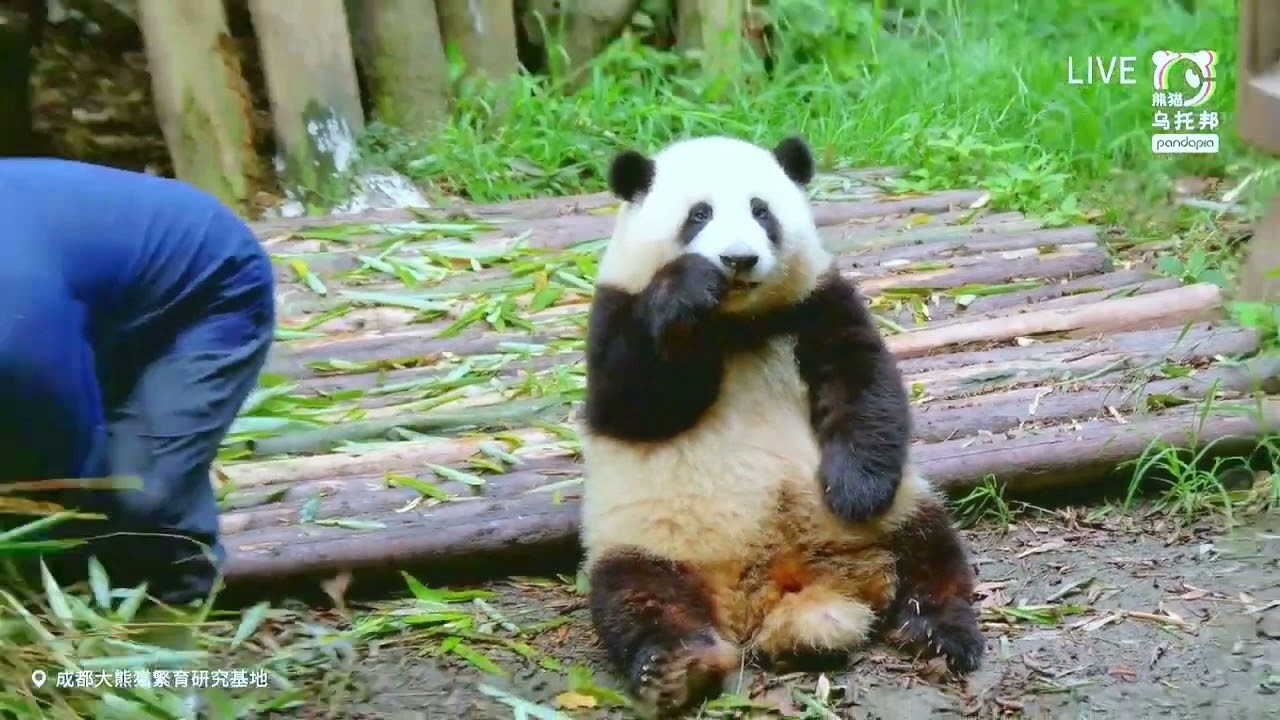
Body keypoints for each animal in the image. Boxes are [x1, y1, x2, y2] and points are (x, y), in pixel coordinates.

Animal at [577, 134, 985, 716]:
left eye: (761, 210)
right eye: (698, 214)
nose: (737, 259)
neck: (736, 323)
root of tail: (772, 590)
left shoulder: (816, 301)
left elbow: (864, 384)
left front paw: (854, 490)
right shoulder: (616, 306)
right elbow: (635, 401)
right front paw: (687, 290)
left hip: (901, 509)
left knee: (931, 552)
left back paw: (938, 631)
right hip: (647, 539)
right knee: (638, 598)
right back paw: (676, 669)